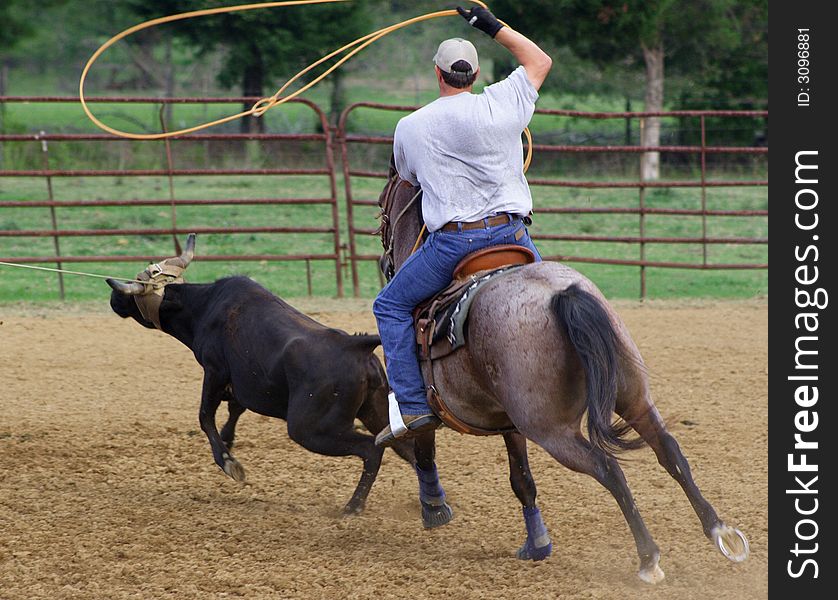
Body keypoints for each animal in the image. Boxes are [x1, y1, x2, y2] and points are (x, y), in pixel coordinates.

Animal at [378, 164, 752, 580]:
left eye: (381, 205)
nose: (384, 262)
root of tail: (560, 295)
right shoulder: (510, 424)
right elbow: (522, 480)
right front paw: (537, 544)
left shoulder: (432, 404)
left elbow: (422, 442)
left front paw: (434, 507)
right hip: (632, 395)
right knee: (668, 449)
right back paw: (720, 531)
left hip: (552, 430)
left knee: (608, 468)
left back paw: (648, 557)